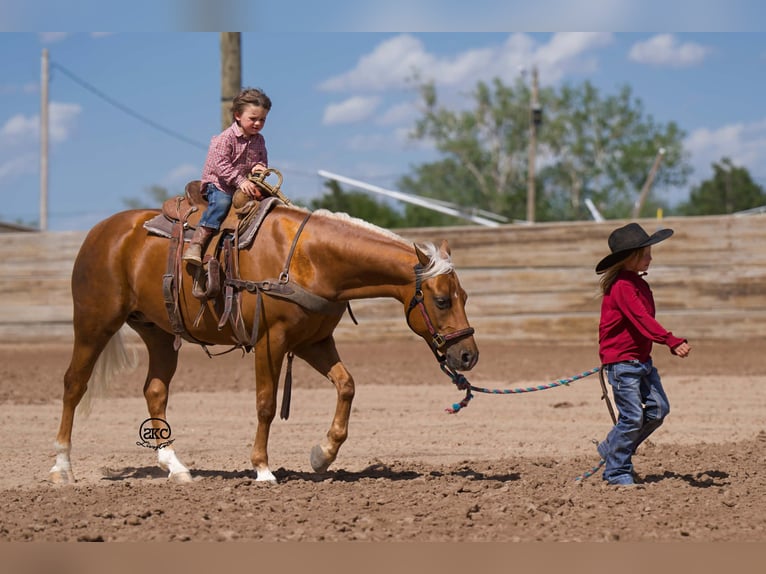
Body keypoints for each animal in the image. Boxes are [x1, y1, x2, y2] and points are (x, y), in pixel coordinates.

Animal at [49, 200, 479, 484]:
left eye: (465, 296)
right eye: (442, 300)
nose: (468, 355)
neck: (311, 257)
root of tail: (101, 232)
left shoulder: (313, 341)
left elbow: (347, 385)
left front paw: (322, 456)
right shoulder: (270, 341)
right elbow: (266, 404)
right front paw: (262, 468)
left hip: (159, 332)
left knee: (155, 390)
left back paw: (176, 467)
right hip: (94, 323)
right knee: (73, 384)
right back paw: (62, 467)